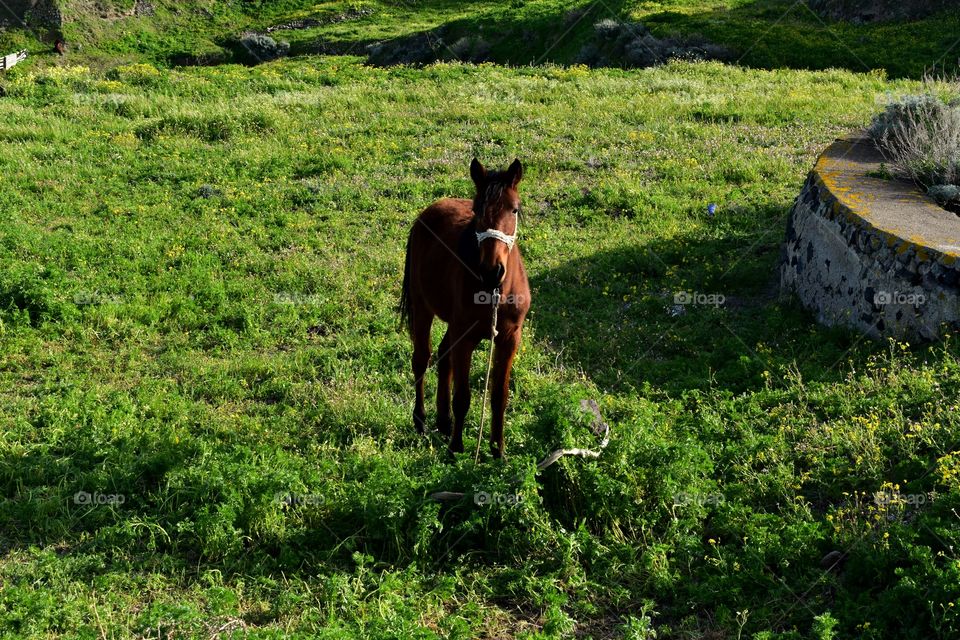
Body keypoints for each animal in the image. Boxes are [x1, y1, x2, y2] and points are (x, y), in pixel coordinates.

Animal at [399, 158, 530, 458]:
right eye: (477, 209)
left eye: (514, 209)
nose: (493, 270)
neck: (495, 293)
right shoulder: (466, 337)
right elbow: (462, 396)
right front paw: (455, 449)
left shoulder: (509, 339)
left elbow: (499, 396)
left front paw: (498, 450)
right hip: (423, 308)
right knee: (421, 359)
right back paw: (421, 420)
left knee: (443, 354)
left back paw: (444, 421)